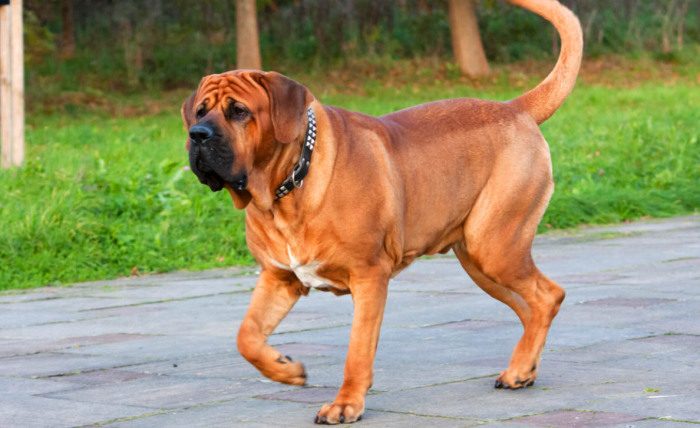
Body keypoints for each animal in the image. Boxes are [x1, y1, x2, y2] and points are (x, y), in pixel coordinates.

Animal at [181, 0, 582, 423]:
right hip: (479, 259)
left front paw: (345, 404)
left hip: (495, 246)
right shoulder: (279, 278)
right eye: (200, 111)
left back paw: (521, 367)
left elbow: (357, 350)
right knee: (530, 306)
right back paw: (523, 368)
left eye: (239, 111)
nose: (197, 135)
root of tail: (514, 108)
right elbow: (247, 336)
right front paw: (285, 369)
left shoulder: (369, 276)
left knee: (548, 296)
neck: (286, 189)